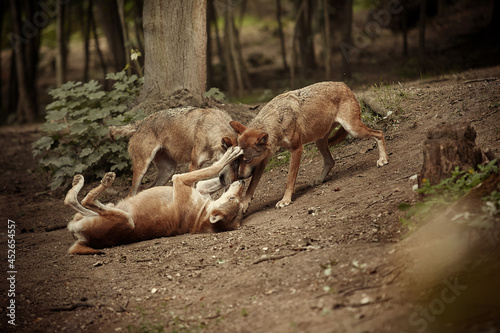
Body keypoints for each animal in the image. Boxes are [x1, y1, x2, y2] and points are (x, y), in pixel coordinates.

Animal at [65, 147, 246, 253]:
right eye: (234, 198)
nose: (242, 183)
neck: (201, 214)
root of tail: (82, 239)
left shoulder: (179, 179)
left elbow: (213, 167)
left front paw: (230, 156)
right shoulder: (199, 186)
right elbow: (216, 173)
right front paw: (231, 161)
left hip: (125, 219)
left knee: (84, 200)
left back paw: (104, 181)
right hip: (107, 208)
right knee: (73, 202)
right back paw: (80, 182)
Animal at [110, 105, 239, 195]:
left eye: (239, 165)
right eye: (232, 164)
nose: (235, 181)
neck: (210, 130)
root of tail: (140, 123)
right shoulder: (194, 165)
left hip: (168, 171)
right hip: (142, 170)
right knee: (131, 194)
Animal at [228, 80, 390, 210]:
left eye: (247, 160)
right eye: (238, 159)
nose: (239, 176)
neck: (277, 119)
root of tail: (344, 85)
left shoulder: (296, 149)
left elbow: (289, 179)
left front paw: (285, 200)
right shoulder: (264, 160)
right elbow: (252, 185)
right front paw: (244, 203)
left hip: (353, 130)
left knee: (379, 133)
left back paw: (383, 159)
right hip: (320, 141)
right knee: (330, 161)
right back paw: (319, 180)